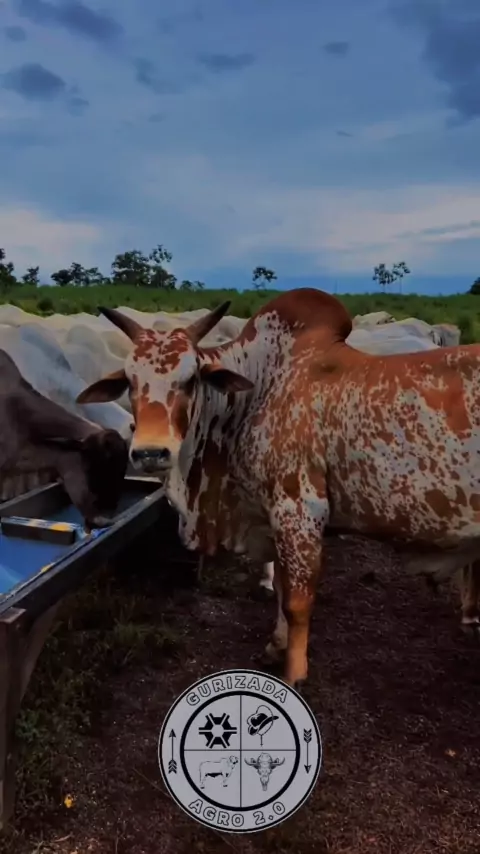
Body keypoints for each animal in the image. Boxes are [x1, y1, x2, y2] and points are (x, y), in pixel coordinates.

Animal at [76, 288, 480, 688]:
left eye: (191, 379)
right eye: (130, 382)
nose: (150, 452)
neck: (257, 393)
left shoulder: (299, 510)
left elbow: (297, 602)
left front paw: (294, 674)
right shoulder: (273, 517)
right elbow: (282, 589)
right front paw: (275, 645)